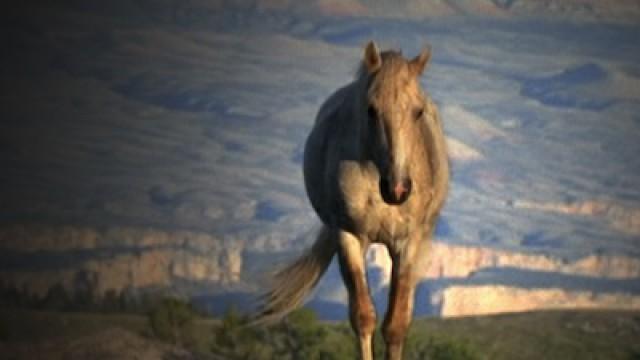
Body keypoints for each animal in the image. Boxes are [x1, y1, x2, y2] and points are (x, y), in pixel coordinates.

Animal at [256, 40, 450, 358]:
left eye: (418, 111)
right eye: (371, 109)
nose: (398, 189)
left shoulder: (407, 243)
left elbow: (395, 325)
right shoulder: (348, 237)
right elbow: (363, 317)